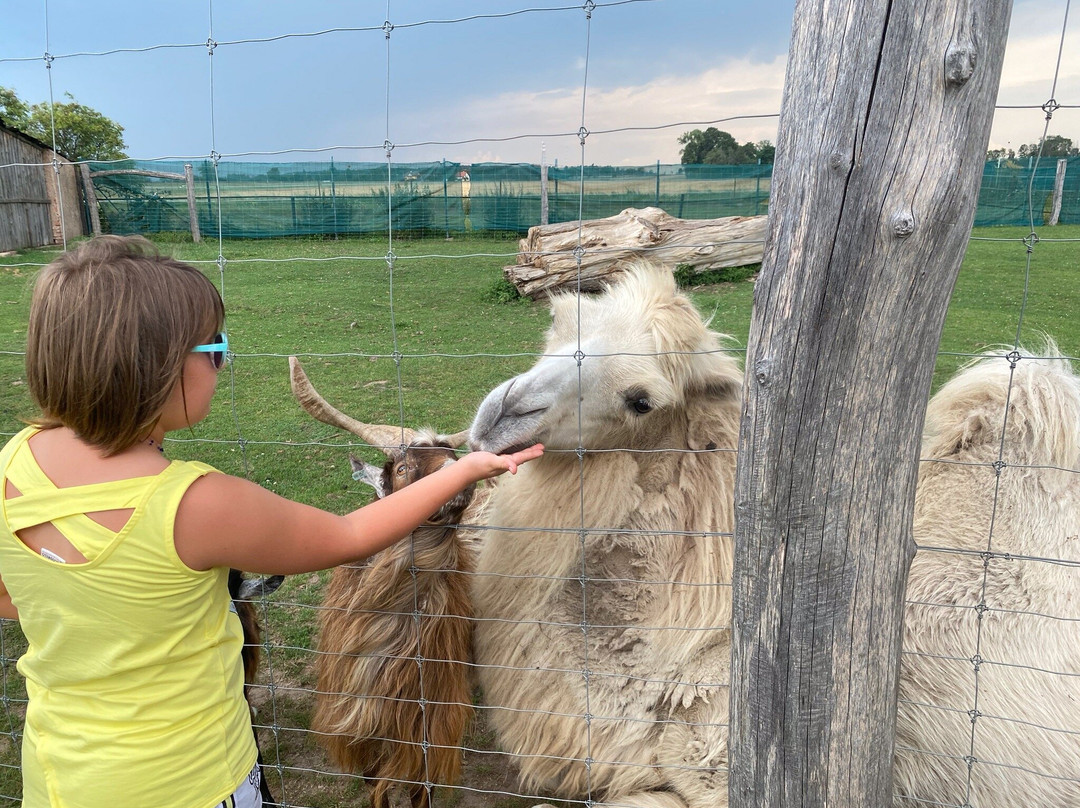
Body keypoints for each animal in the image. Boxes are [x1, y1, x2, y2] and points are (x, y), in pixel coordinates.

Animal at [291, 358, 477, 808]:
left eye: (452, 453)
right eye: (405, 468)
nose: (461, 478)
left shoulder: (425, 725)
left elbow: (419, 790)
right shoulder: (360, 724)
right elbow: (375, 786)